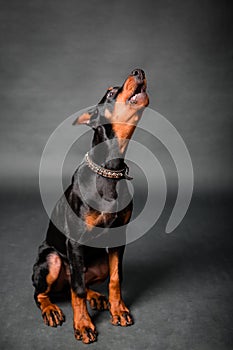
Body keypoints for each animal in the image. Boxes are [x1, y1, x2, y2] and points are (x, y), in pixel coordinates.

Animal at [31, 67, 149, 342]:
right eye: (110, 92)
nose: (138, 71)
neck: (109, 169)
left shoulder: (118, 238)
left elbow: (116, 278)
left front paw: (119, 310)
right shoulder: (74, 241)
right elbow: (78, 291)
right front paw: (83, 325)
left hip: (99, 262)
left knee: (79, 283)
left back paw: (97, 297)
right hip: (51, 259)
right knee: (46, 292)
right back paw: (51, 310)